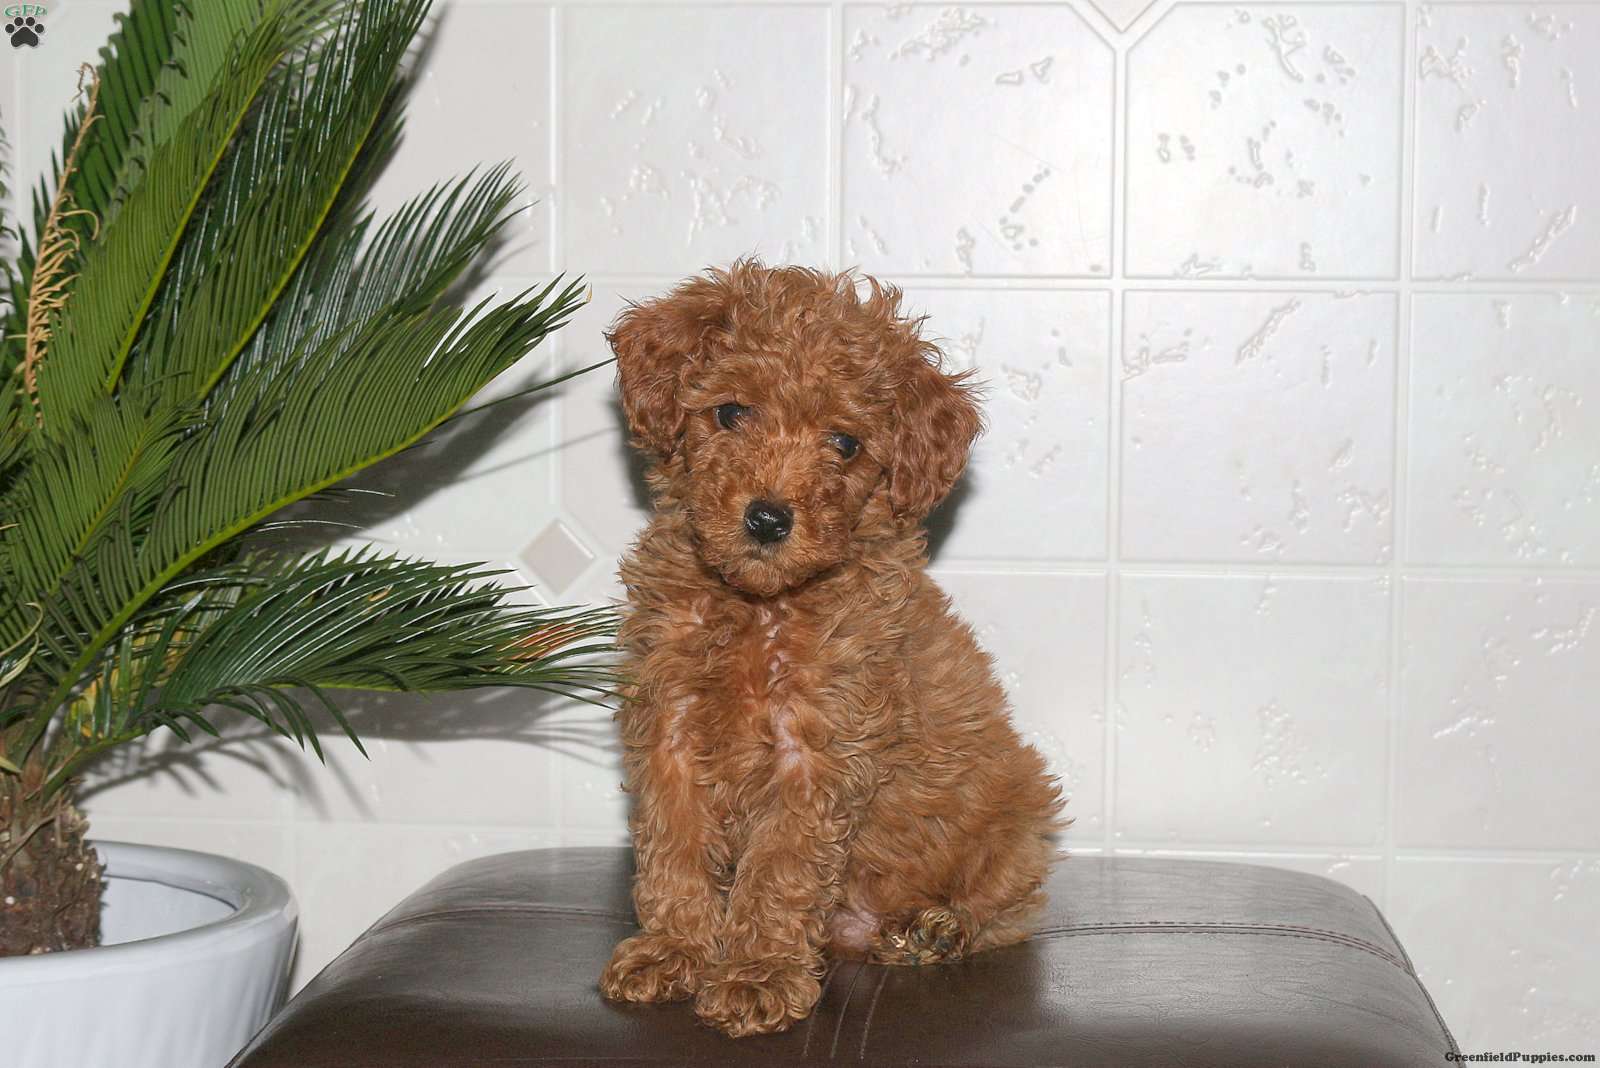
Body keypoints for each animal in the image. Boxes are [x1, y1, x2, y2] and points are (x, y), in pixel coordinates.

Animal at [597, 261, 1066, 1038]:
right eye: (732, 412)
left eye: (844, 444)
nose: (768, 518)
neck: (759, 608)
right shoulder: (667, 725)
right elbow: (674, 847)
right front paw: (674, 950)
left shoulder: (815, 749)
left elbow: (778, 868)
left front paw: (756, 973)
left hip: (1023, 817)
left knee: (1005, 913)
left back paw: (934, 929)